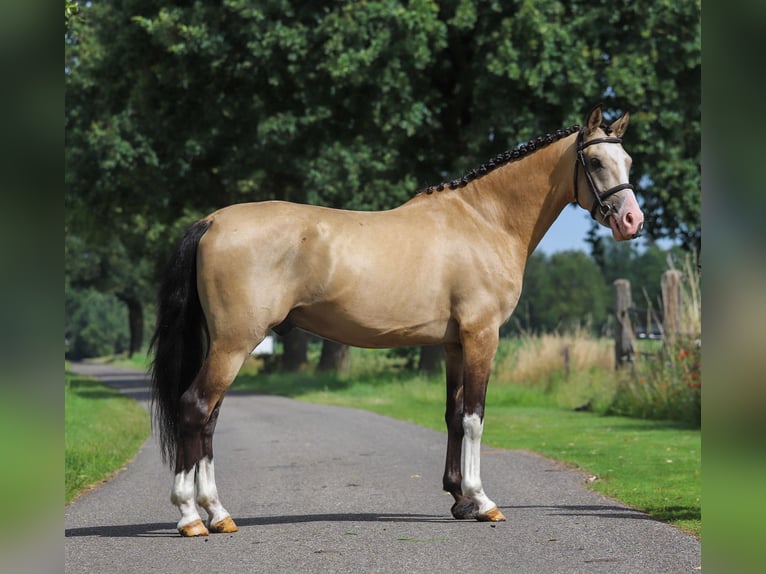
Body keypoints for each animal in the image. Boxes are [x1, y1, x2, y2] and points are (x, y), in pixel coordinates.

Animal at [148, 104, 640, 540]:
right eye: (596, 161)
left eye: (629, 162)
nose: (632, 220)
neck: (484, 221)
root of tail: (211, 222)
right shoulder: (482, 336)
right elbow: (475, 417)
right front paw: (482, 501)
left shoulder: (453, 343)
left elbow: (453, 414)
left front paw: (459, 500)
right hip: (234, 344)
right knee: (194, 408)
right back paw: (192, 516)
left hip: (224, 346)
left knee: (208, 419)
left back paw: (215, 513)